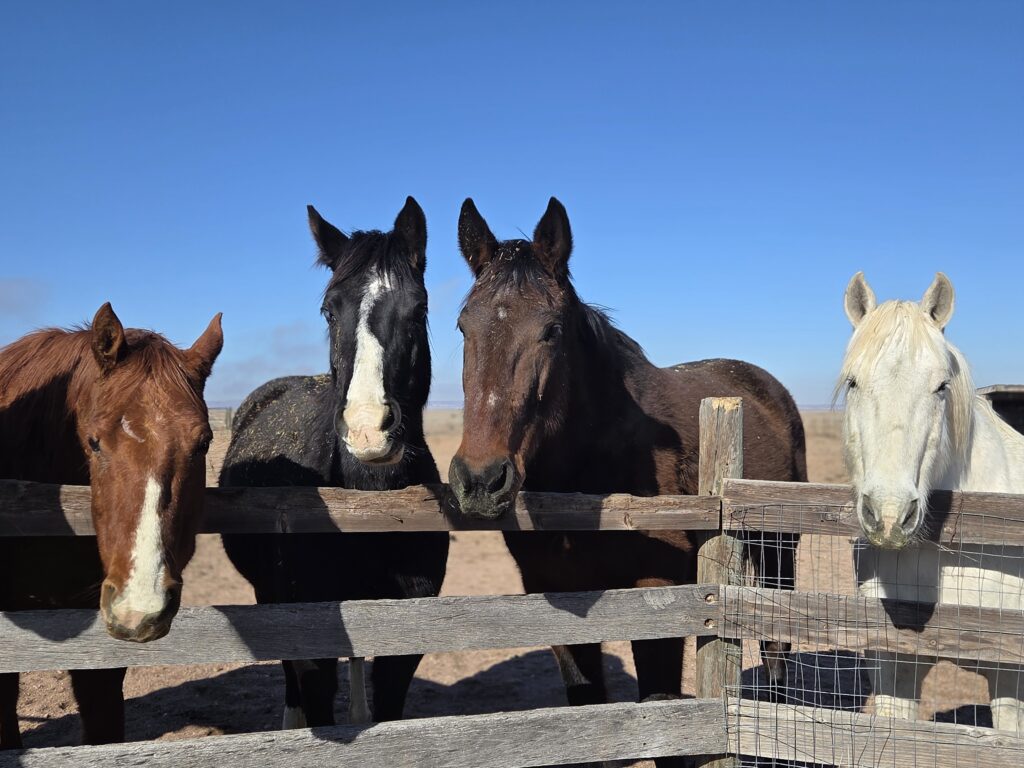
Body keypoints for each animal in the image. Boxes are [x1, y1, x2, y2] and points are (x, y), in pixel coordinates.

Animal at [220, 197, 448, 729]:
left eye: (419, 309)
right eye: (329, 310)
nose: (368, 428)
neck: (368, 513)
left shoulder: (406, 639)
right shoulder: (309, 632)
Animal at [445, 197, 807, 766]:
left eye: (551, 329)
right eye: (463, 327)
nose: (481, 480)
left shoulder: (658, 595)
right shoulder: (555, 594)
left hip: (779, 550)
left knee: (776, 645)